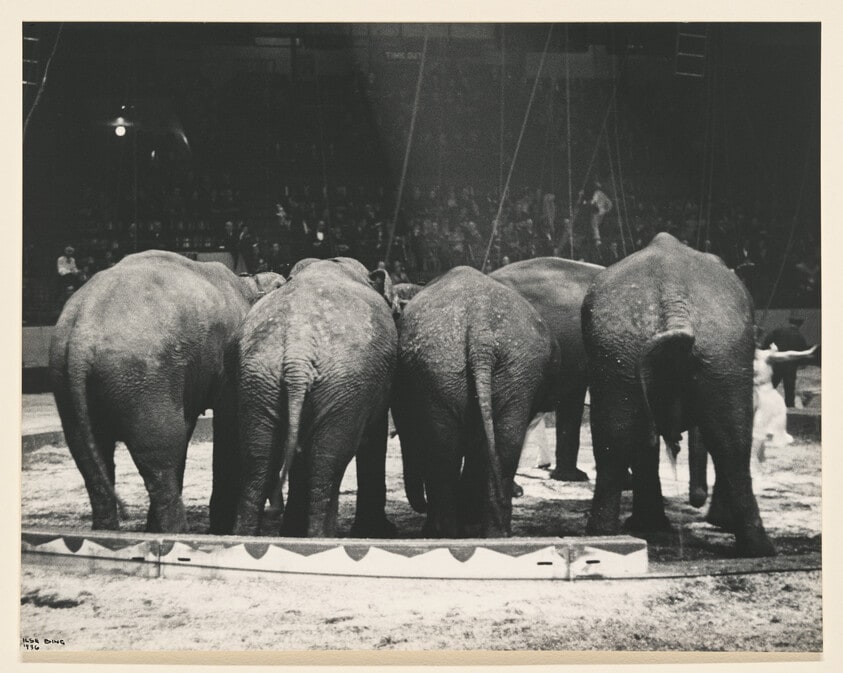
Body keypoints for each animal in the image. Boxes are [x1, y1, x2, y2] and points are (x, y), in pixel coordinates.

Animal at [48, 250, 285, 533]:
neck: (248, 284)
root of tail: (81, 336)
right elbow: (227, 424)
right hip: (142, 376)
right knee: (160, 452)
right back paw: (176, 532)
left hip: (67, 380)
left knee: (89, 457)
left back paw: (113, 530)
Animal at [231, 257, 398, 538]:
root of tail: (297, 351)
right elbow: (374, 439)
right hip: (345, 383)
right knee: (327, 462)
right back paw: (322, 536)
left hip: (258, 378)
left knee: (257, 459)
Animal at [393, 266, 558, 537]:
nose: (421, 504)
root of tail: (482, 334)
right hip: (509, 369)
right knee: (501, 442)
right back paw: (494, 533)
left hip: (451, 364)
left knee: (445, 450)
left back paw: (446, 532)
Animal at [580, 233, 775, 557]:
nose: (696, 498)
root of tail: (673, 298)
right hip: (708, 350)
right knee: (729, 442)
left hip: (630, 348)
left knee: (616, 437)